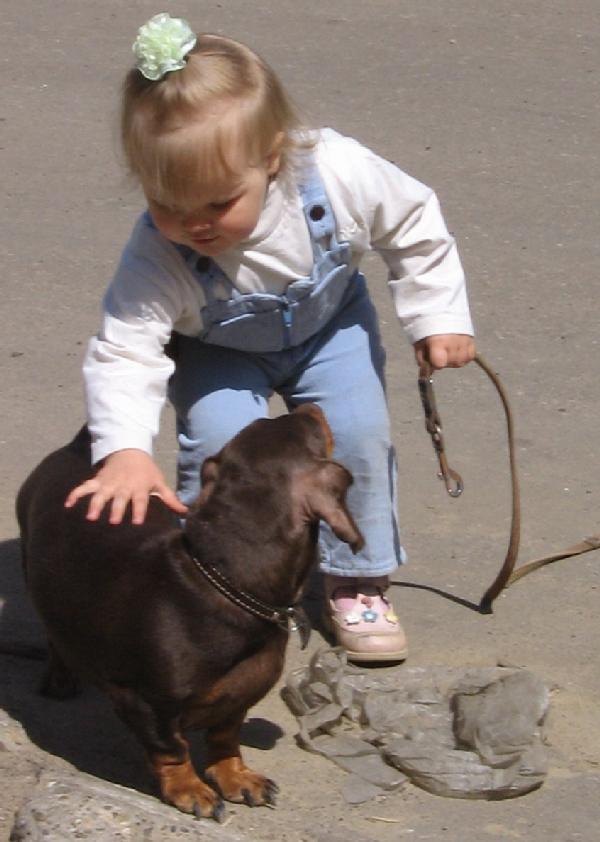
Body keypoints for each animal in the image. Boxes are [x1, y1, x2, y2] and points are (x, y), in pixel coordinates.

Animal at [16, 404, 363, 820]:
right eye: (307, 426)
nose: (308, 406)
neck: (224, 585)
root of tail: (76, 451)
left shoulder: (238, 699)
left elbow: (225, 738)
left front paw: (236, 777)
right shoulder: (147, 704)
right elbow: (171, 749)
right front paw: (189, 789)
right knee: (55, 634)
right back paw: (60, 677)